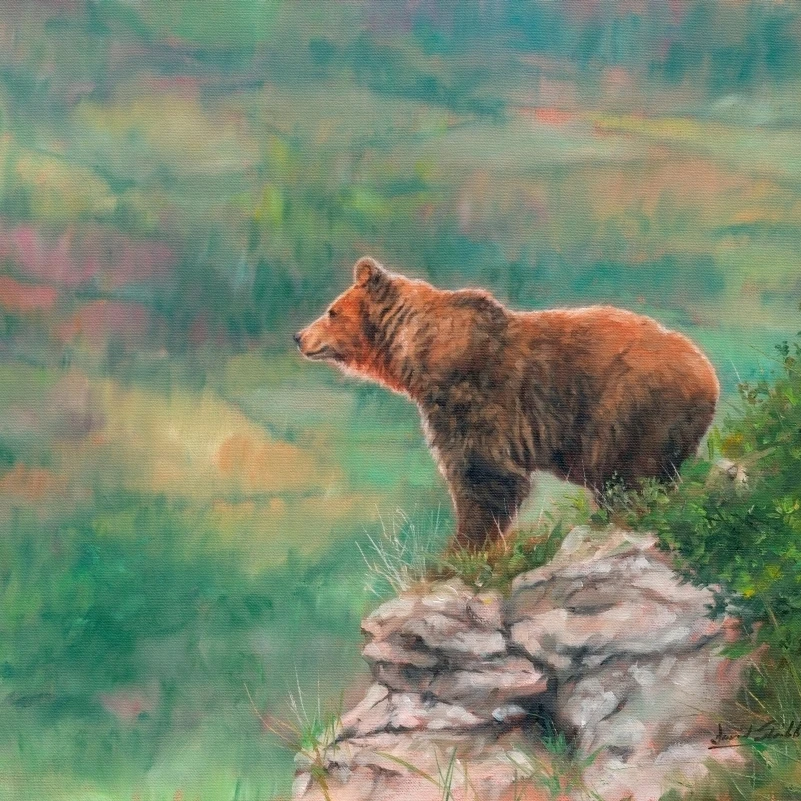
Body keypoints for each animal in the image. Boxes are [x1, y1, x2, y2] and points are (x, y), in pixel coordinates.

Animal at [295, 257, 720, 550]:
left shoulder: (475, 398)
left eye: (331, 311)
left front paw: (456, 552)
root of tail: (708, 373)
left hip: (630, 408)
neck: (420, 355)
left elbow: (484, 476)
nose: (299, 336)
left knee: (625, 474)